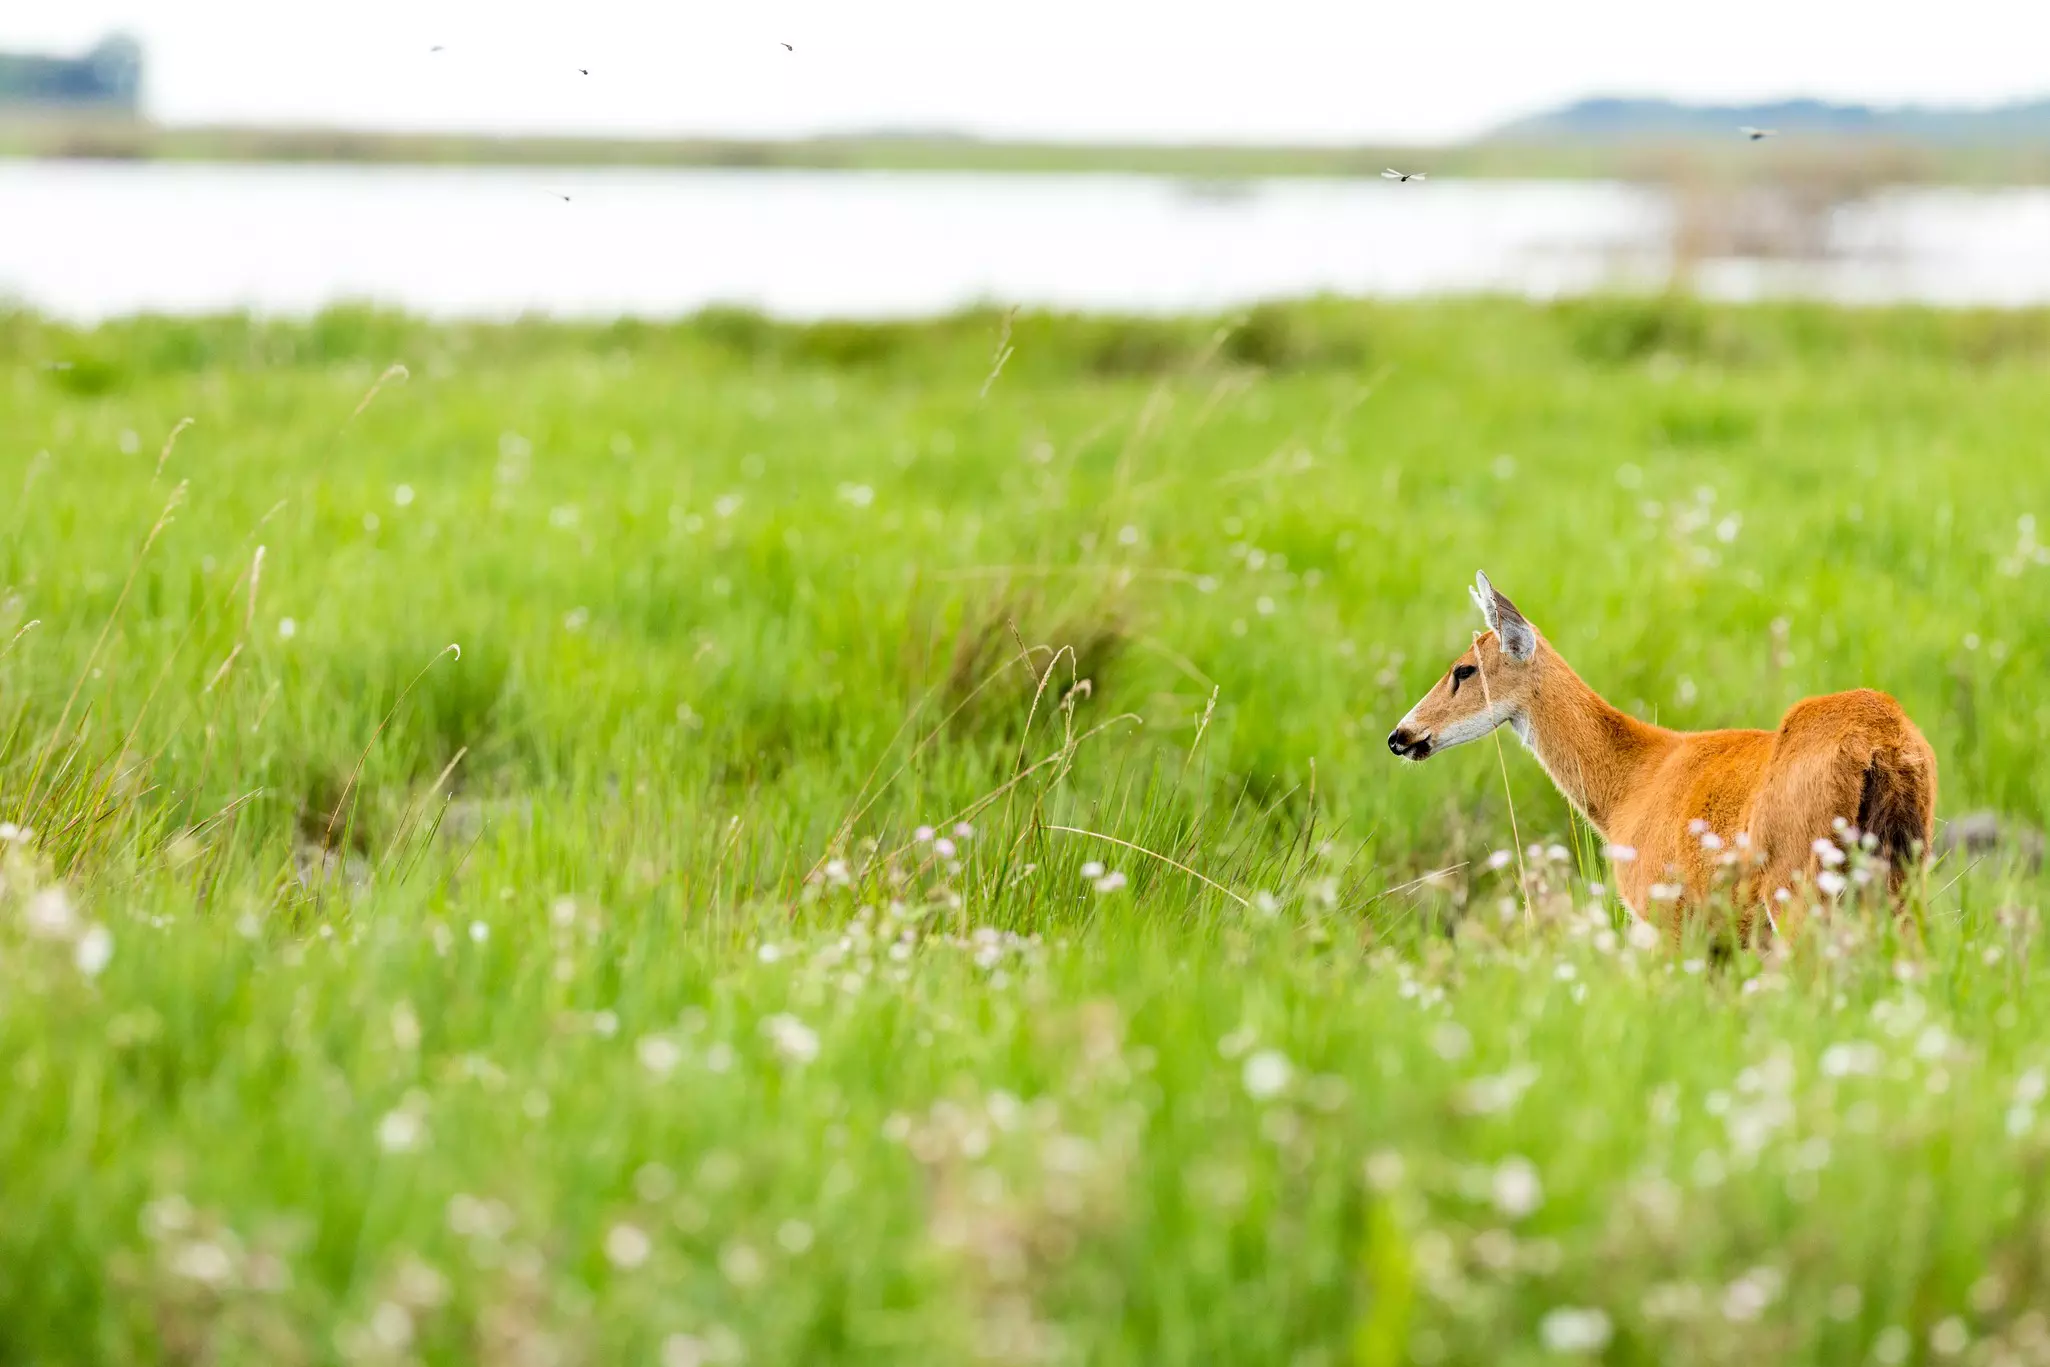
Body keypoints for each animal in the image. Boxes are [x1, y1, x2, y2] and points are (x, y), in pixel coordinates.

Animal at [1386, 572, 1937, 938]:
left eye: (1464, 670)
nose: (1400, 735)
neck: (1630, 785)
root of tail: (1882, 739)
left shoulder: (1662, 910)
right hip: (1902, 866)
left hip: (1800, 878)